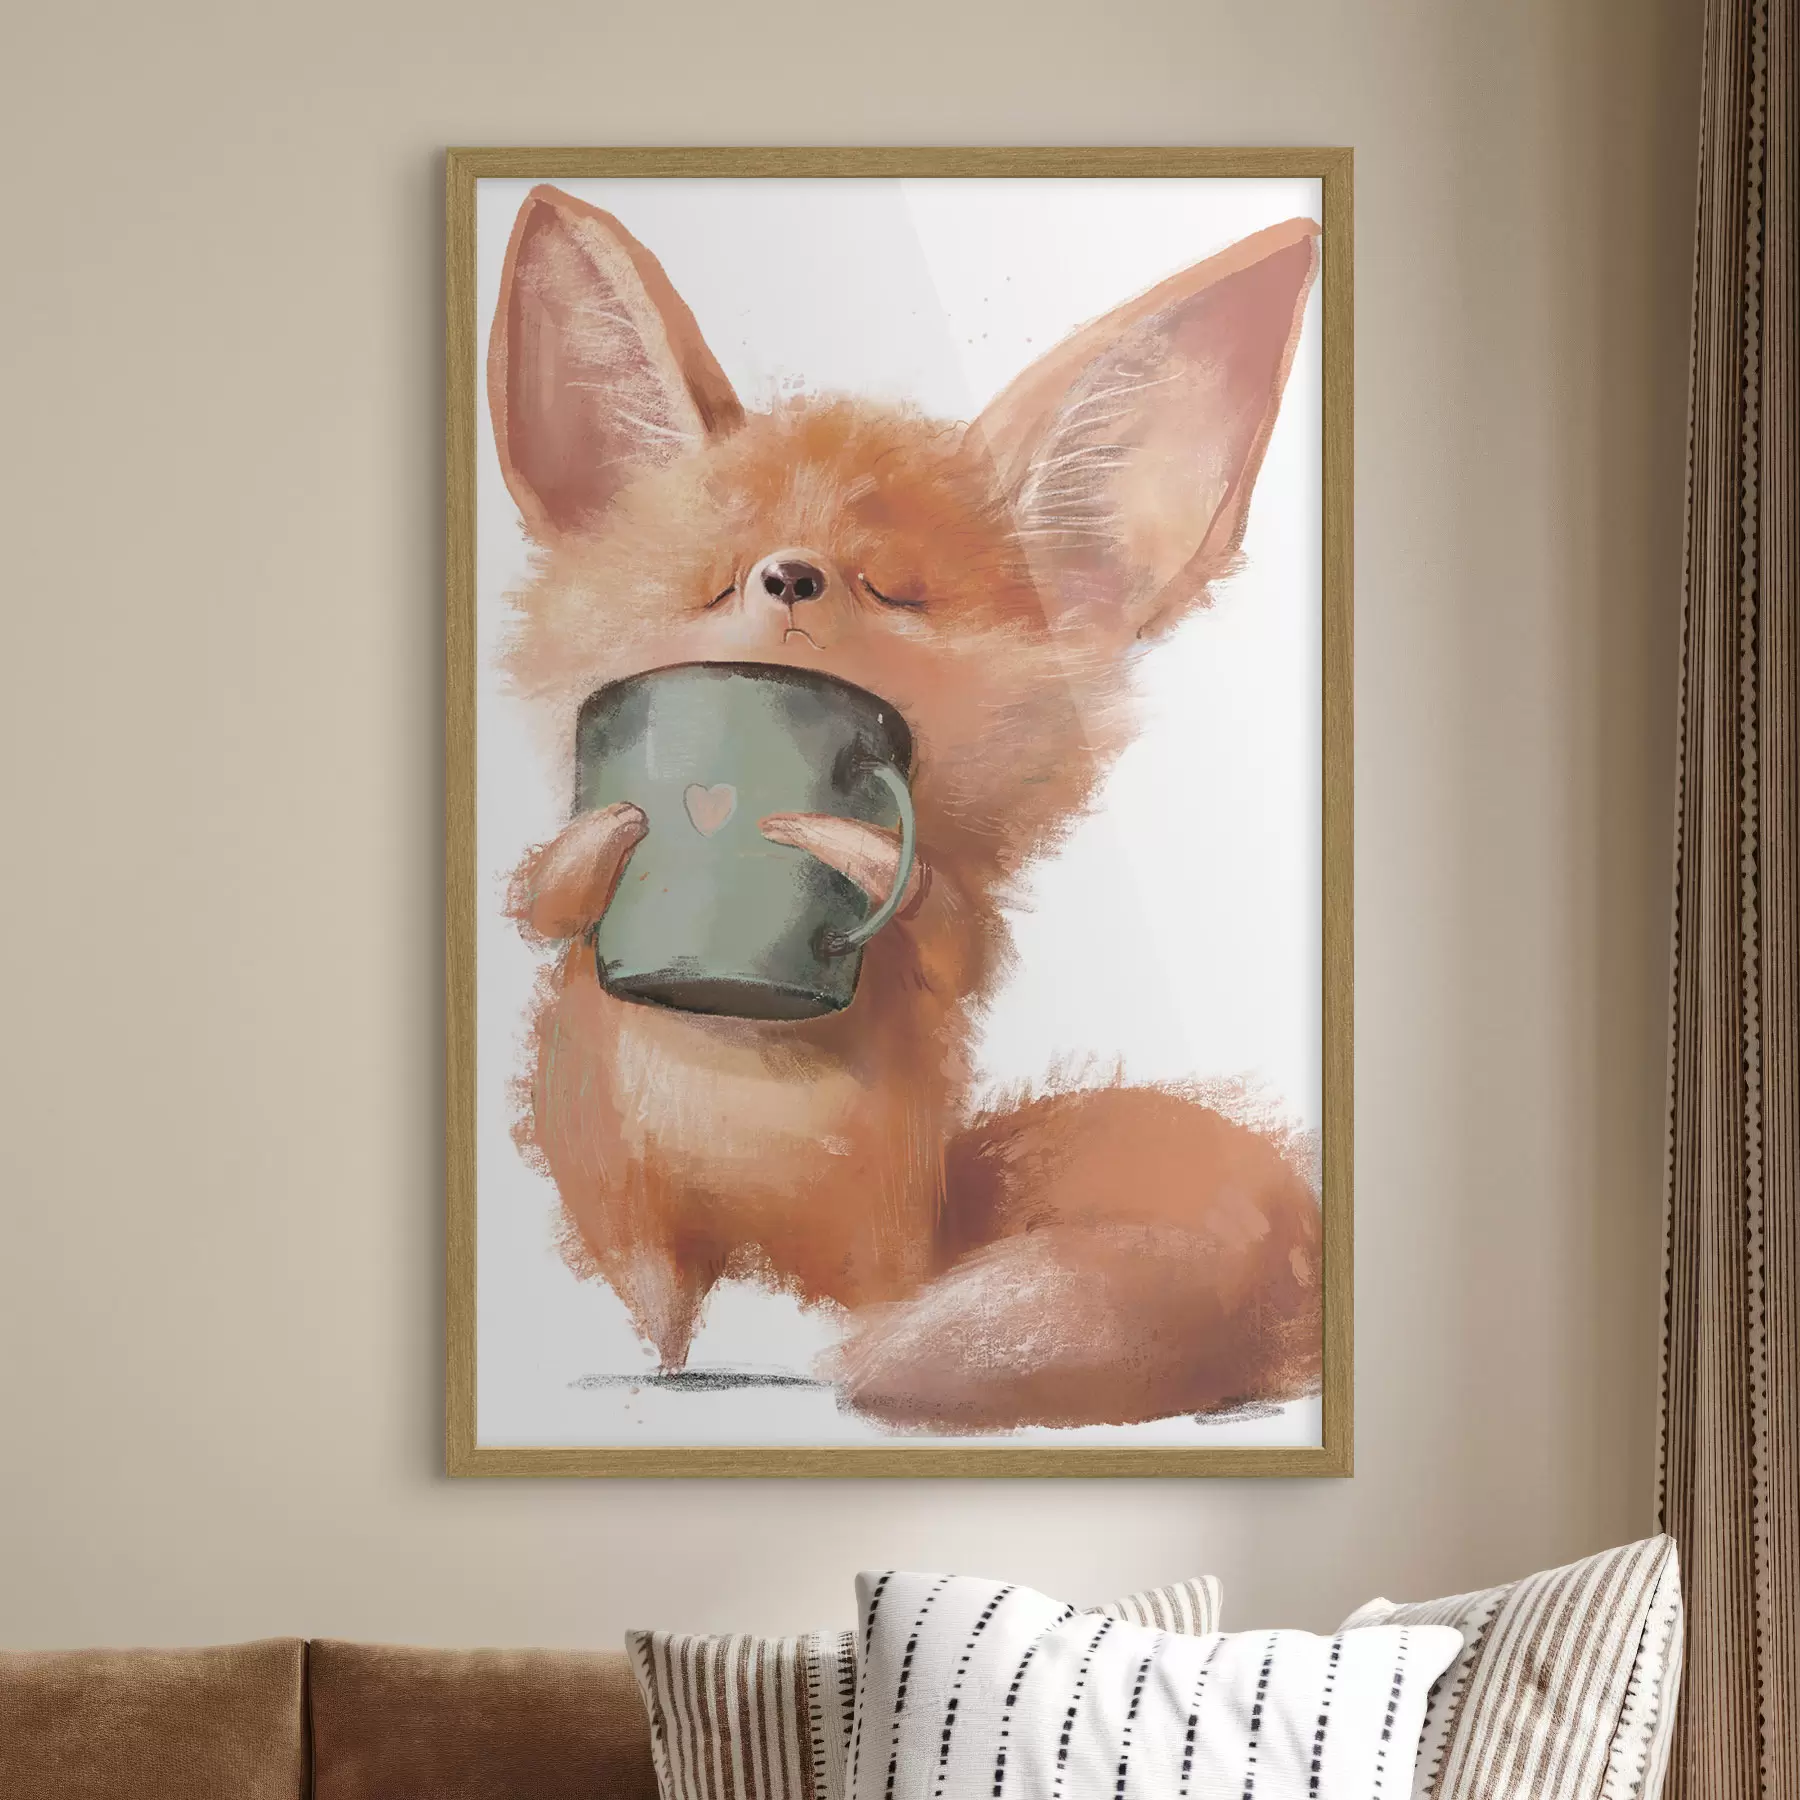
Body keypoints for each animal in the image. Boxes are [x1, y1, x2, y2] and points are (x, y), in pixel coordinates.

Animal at [489, 184, 1324, 1432]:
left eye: (893, 589)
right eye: (715, 579)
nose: (791, 575)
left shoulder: (955, 926)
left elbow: (952, 932)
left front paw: (857, 850)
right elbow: (541, 900)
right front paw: (610, 836)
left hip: (879, 1256)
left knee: (850, 1312)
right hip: (634, 1227)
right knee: (662, 1314)